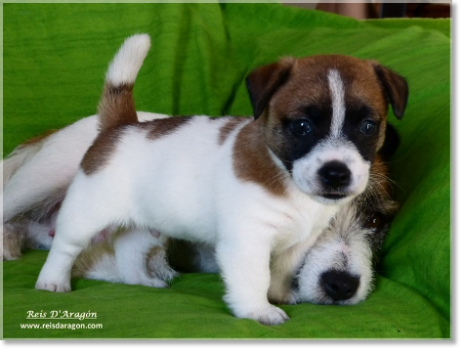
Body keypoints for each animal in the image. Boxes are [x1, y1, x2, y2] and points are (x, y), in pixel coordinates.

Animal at [7, 34, 408, 326]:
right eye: (302, 126)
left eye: (368, 127)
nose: (336, 174)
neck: (287, 179)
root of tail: (121, 126)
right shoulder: (247, 241)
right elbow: (255, 276)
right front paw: (258, 310)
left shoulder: (297, 242)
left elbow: (280, 271)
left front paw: (278, 294)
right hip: (81, 211)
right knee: (64, 246)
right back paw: (52, 281)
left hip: (147, 226)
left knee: (130, 250)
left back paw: (143, 281)